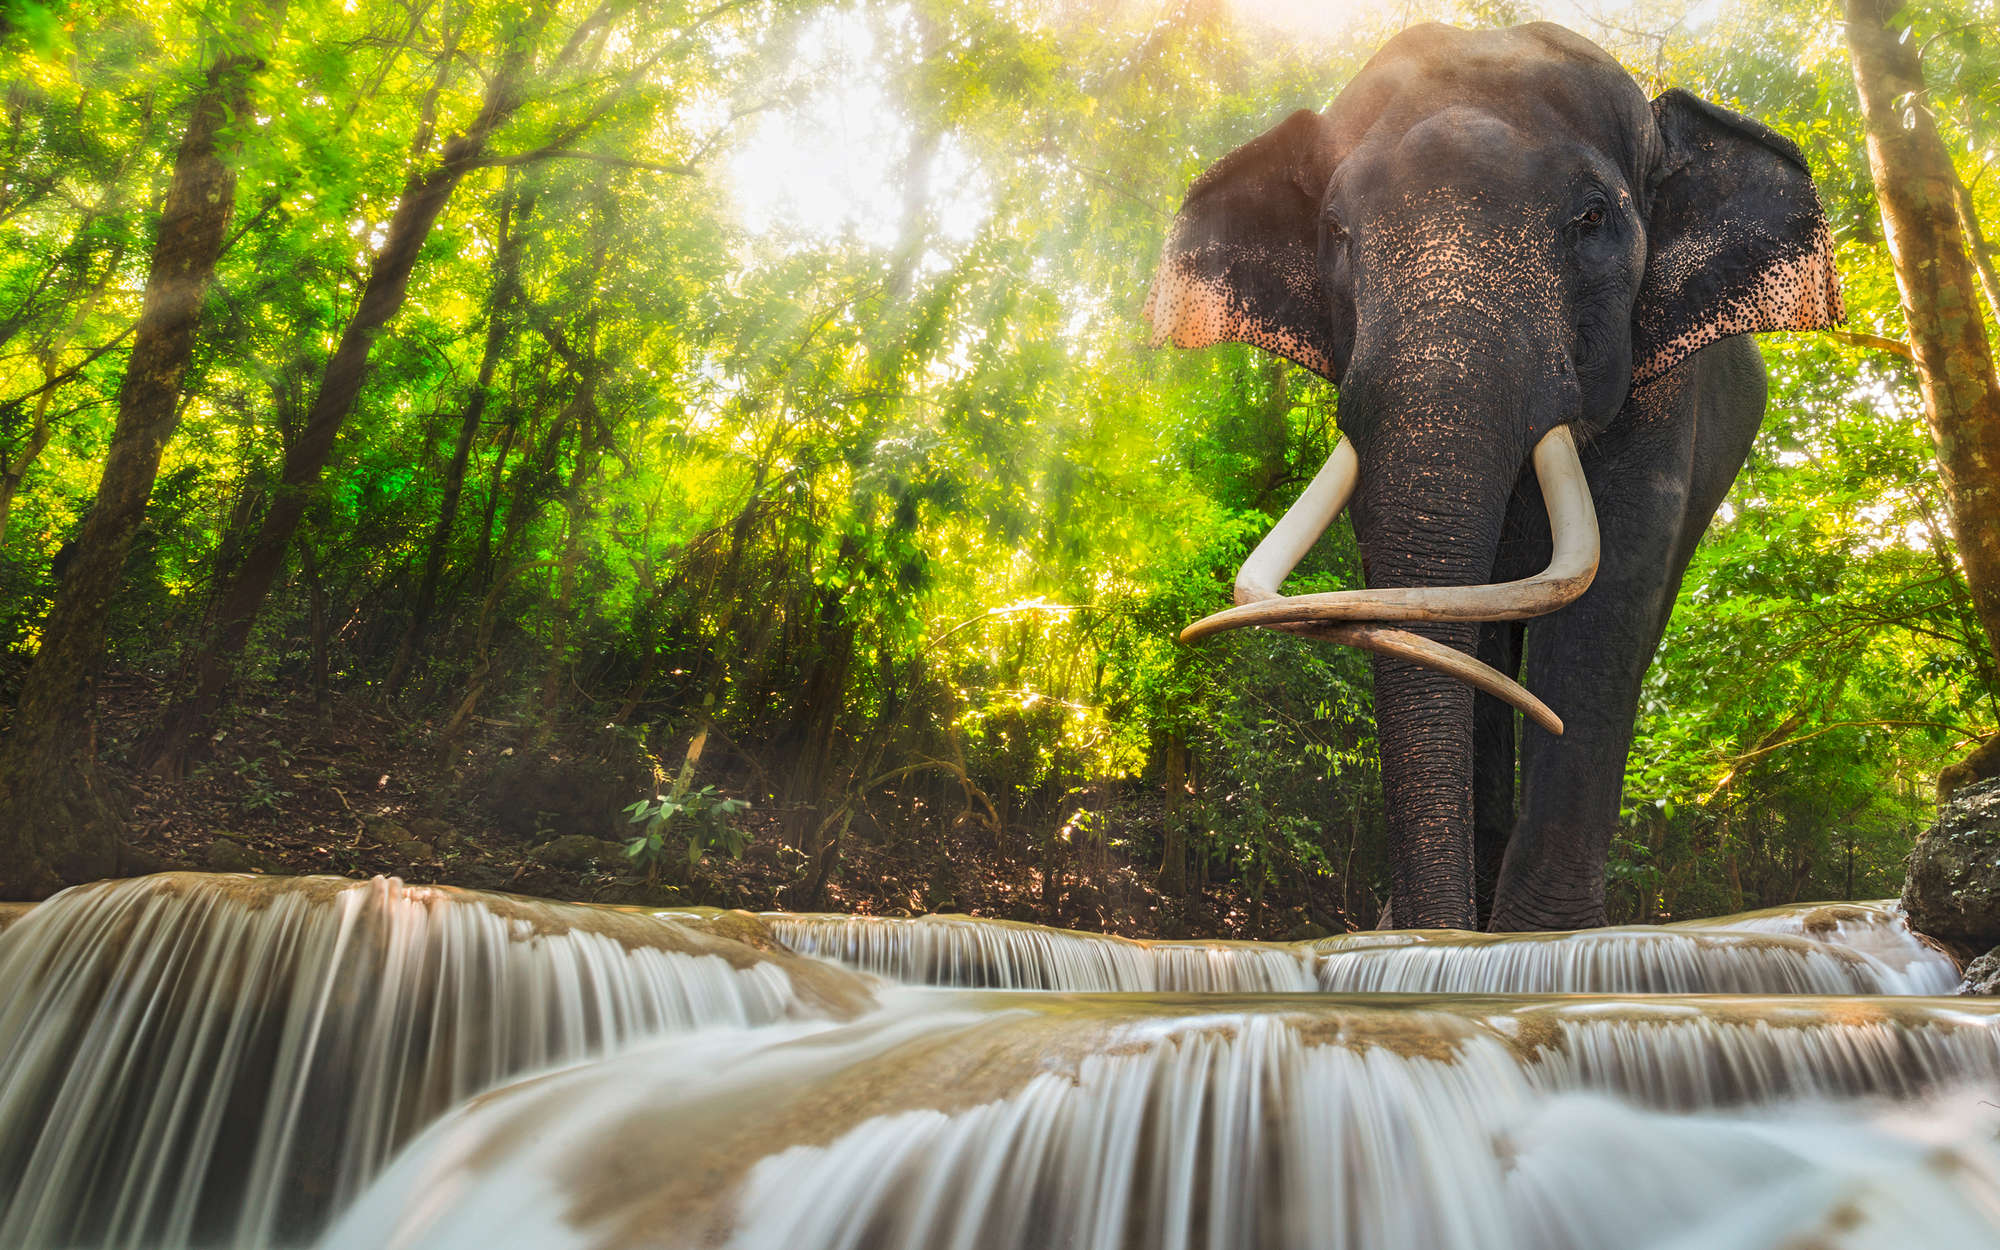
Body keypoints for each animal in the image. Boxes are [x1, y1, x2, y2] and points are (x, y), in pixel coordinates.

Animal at [1144, 24, 1840, 932]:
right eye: (1336, 231)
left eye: (1593, 217)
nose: (1415, 927)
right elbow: (1436, 614)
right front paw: (1435, 935)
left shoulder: (1663, 389)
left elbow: (1606, 601)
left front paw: (1541, 941)